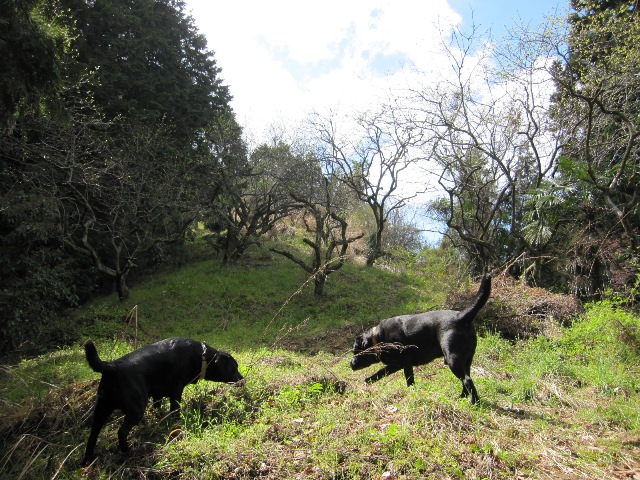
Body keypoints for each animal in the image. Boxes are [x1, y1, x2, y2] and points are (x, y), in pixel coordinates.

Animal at [84, 336, 244, 464]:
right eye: (234, 368)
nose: (243, 380)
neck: (203, 356)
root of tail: (112, 366)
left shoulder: (158, 395)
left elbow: (157, 408)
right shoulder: (176, 390)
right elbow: (175, 410)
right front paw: (176, 423)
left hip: (101, 409)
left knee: (93, 433)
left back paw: (88, 459)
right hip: (136, 409)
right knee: (122, 431)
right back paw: (127, 450)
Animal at [352, 276, 492, 404]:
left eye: (355, 351)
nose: (351, 364)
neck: (378, 338)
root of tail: (462, 316)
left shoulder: (406, 363)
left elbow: (409, 380)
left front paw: (412, 394)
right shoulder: (395, 365)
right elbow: (379, 374)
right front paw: (367, 382)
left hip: (453, 360)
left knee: (467, 380)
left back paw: (474, 402)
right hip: (465, 361)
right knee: (466, 380)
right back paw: (461, 398)